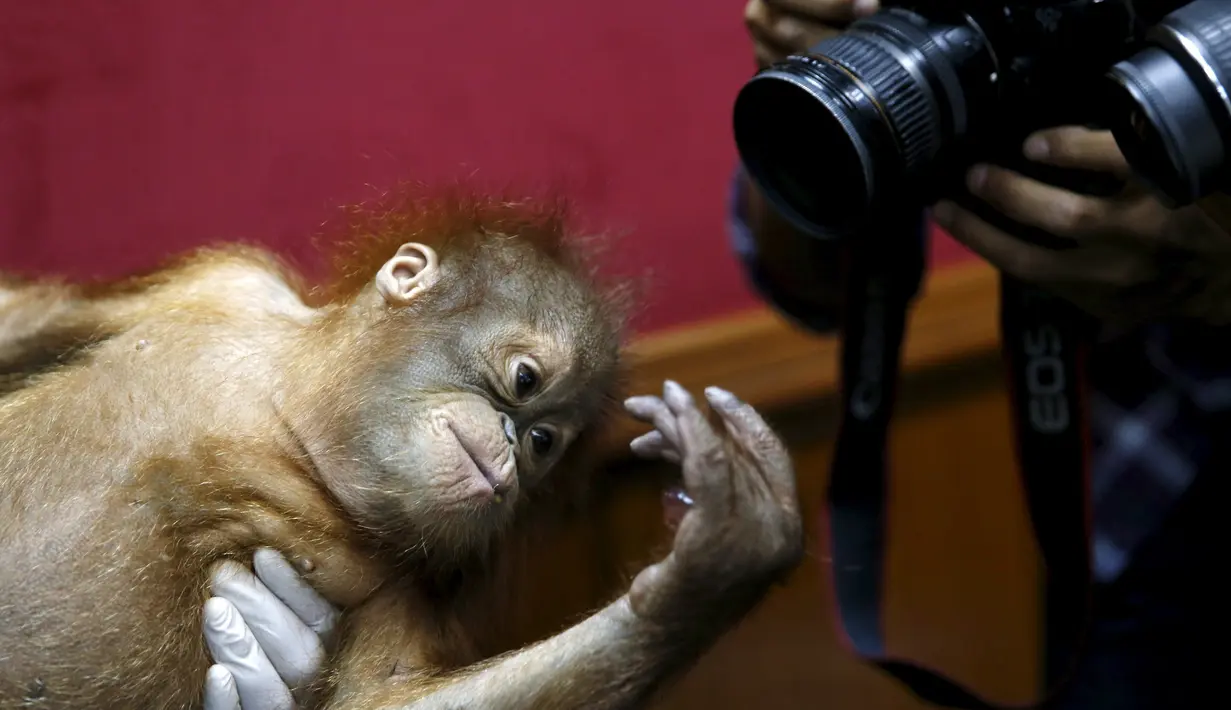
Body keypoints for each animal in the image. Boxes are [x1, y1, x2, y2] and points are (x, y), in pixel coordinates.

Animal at [0, 190, 803, 709]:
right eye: (524, 381)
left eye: (542, 444)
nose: (510, 453)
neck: (288, 426)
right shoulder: (224, 278)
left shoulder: (409, 578)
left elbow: (388, 701)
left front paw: (721, 553)